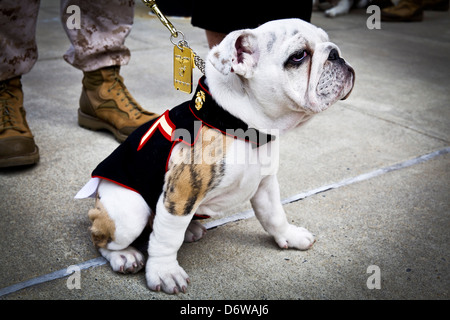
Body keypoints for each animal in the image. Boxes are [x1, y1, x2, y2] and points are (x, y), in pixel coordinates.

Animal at [74, 18, 356, 294]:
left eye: (327, 41)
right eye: (299, 56)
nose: (336, 54)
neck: (244, 127)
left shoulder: (265, 184)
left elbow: (274, 215)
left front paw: (290, 235)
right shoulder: (182, 191)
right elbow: (166, 240)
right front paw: (164, 271)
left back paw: (190, 229)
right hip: (129, 213)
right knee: (102, 237)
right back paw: (124, 255)